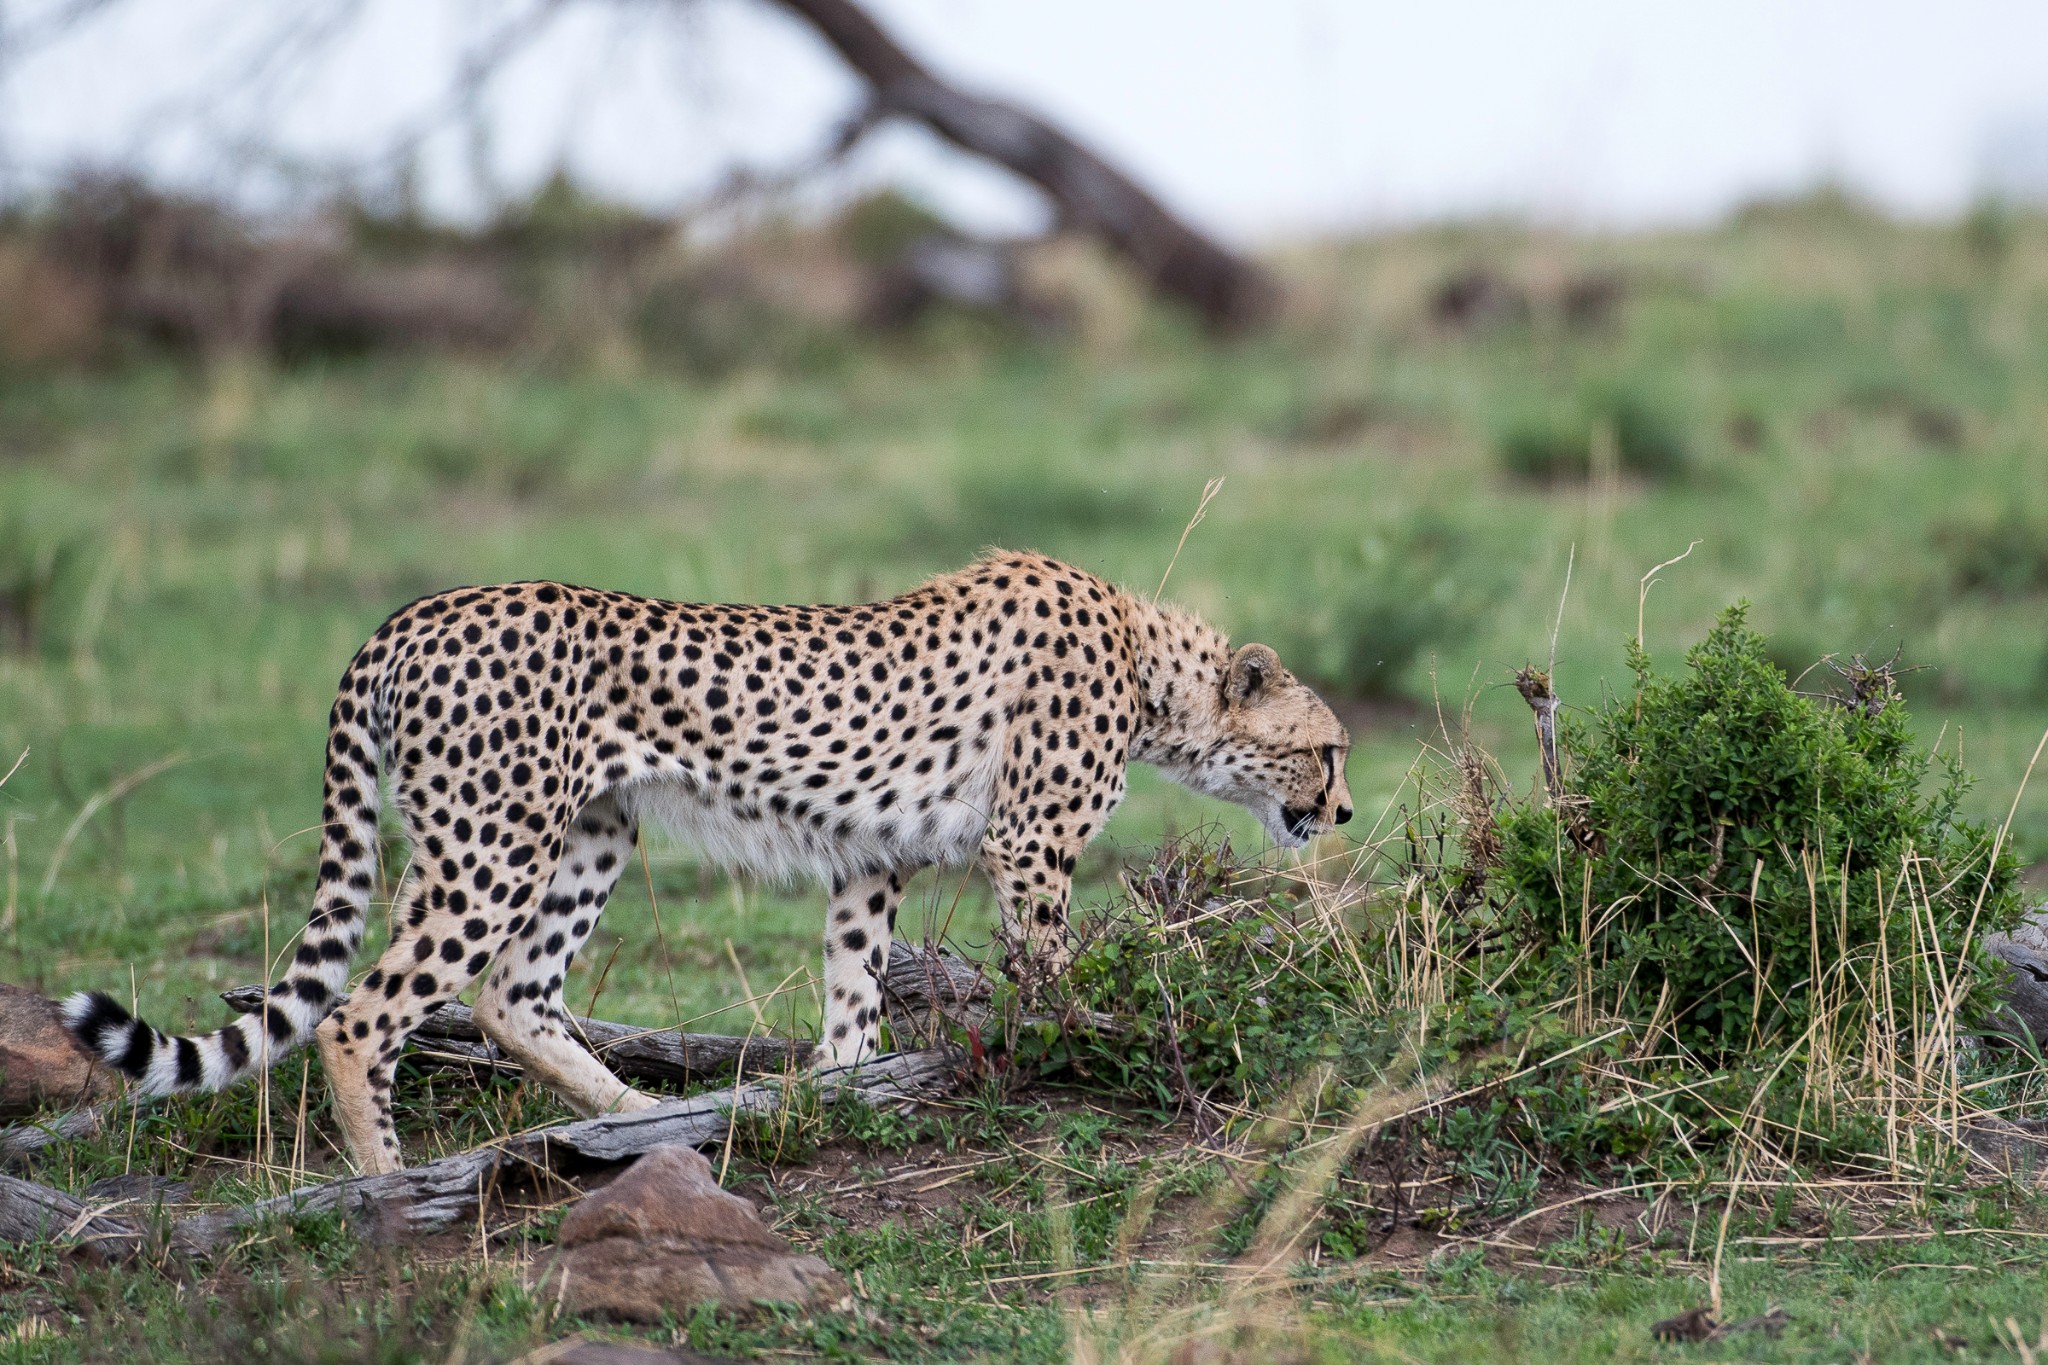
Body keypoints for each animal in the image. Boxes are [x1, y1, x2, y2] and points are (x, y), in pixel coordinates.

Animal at [64, 552, 1351, 1178]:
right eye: (1326, 747)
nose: (1338, 810)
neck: (1150, 669)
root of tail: (413, 611)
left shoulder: (869, 855)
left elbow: (851, 996)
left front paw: (840, 1095)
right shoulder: (1028, 843)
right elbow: (1051, 968)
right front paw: (1084, 1043)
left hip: (589, 832)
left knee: (511, 996)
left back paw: (639, 1116)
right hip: (492, 843)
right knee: (361, 1013)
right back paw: (381, 1182)